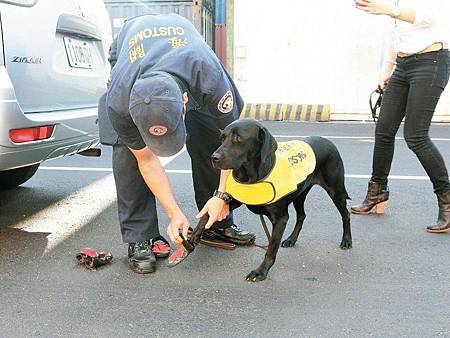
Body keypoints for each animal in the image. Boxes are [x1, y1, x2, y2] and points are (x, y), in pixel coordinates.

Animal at [188, 117, 350, 282]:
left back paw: (347, 241)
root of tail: (327, 141)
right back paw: (291, 239)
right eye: (222, 137)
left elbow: (271, 248)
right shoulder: (235, 199)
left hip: (336, 191)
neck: (252, 176)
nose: (213, 158)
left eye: (238, 138)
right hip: (300, 194)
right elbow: (208, 213)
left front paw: (261, 271)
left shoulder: (280, 219)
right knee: (302, 215)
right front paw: (195, 234)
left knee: (346, 214)